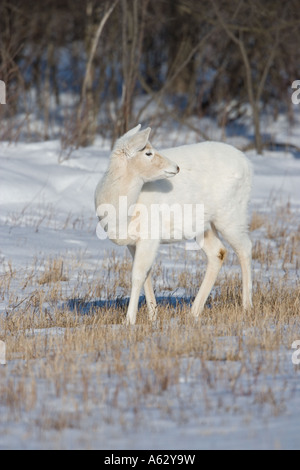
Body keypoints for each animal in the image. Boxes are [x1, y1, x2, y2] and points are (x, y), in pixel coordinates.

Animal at [95, 124, 252, 324]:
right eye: (148, 152)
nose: (176, 167)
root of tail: (247, 163)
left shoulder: (150, 236)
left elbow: (137, 276)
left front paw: (129, 320)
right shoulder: (132, 243)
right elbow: (146, 275)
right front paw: (153, 315)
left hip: (231, 215)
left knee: (245, 248)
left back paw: (247, 306)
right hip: (204, 226)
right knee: (218, 252)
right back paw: (194, 311)